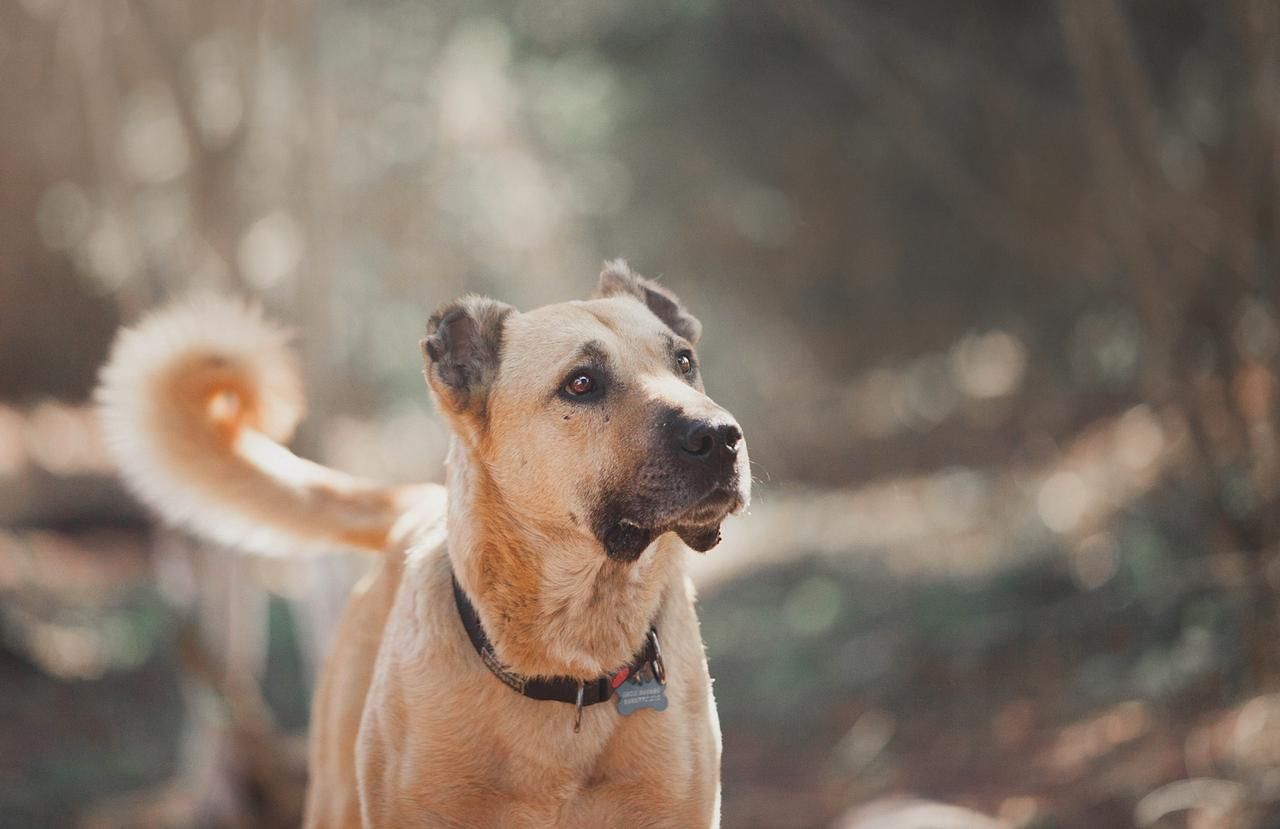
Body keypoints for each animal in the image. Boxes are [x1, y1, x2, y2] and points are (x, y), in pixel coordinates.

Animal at [97, 263, 747, 829]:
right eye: (581, 383)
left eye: (684, 362)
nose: (722, 437)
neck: (571, 657)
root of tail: (416, 502)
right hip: (334, 797)